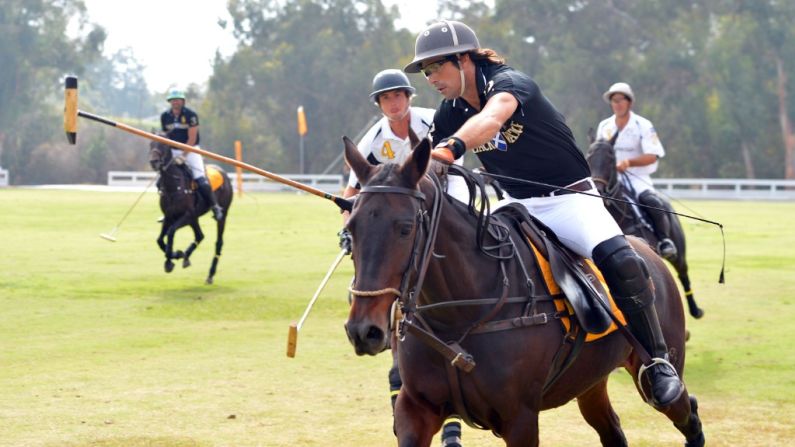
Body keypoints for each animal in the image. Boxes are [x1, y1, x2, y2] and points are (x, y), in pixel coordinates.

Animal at [148, 135, 232, 286]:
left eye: (164, 145)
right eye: (150, 144)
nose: (153, 162)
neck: (173, 186)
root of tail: (223, 173)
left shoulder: (187, 215)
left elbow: (170, 233)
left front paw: (172, 258)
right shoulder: (169, 216)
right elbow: (160, 239)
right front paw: (175, 256)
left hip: (221, 215)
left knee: (218, 242)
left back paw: (210, 274)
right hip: (195, 218)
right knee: (200, 236)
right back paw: (186, 256)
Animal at [580, 135, 704, 320]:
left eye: (611, 158)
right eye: (589, 156)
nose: (598, 191)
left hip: (678, 251)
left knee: (683, 273)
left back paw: (695, 310)